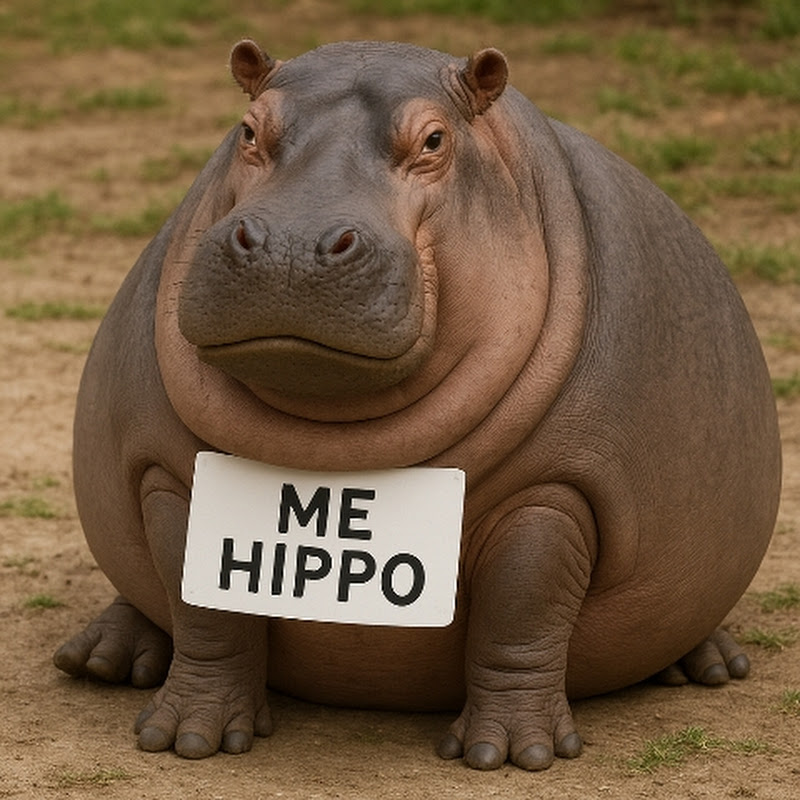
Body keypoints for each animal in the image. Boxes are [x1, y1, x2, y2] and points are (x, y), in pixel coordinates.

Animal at [54, 39, 782, 771]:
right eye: (248, 130)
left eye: (434, 140)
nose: (290, 243)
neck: (333, 449)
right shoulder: (175, 477)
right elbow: (205, 612)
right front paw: (185, 739)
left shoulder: (556, 493)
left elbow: (522, 609)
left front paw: (510, 754)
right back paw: (100, 658)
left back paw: (712, 666)